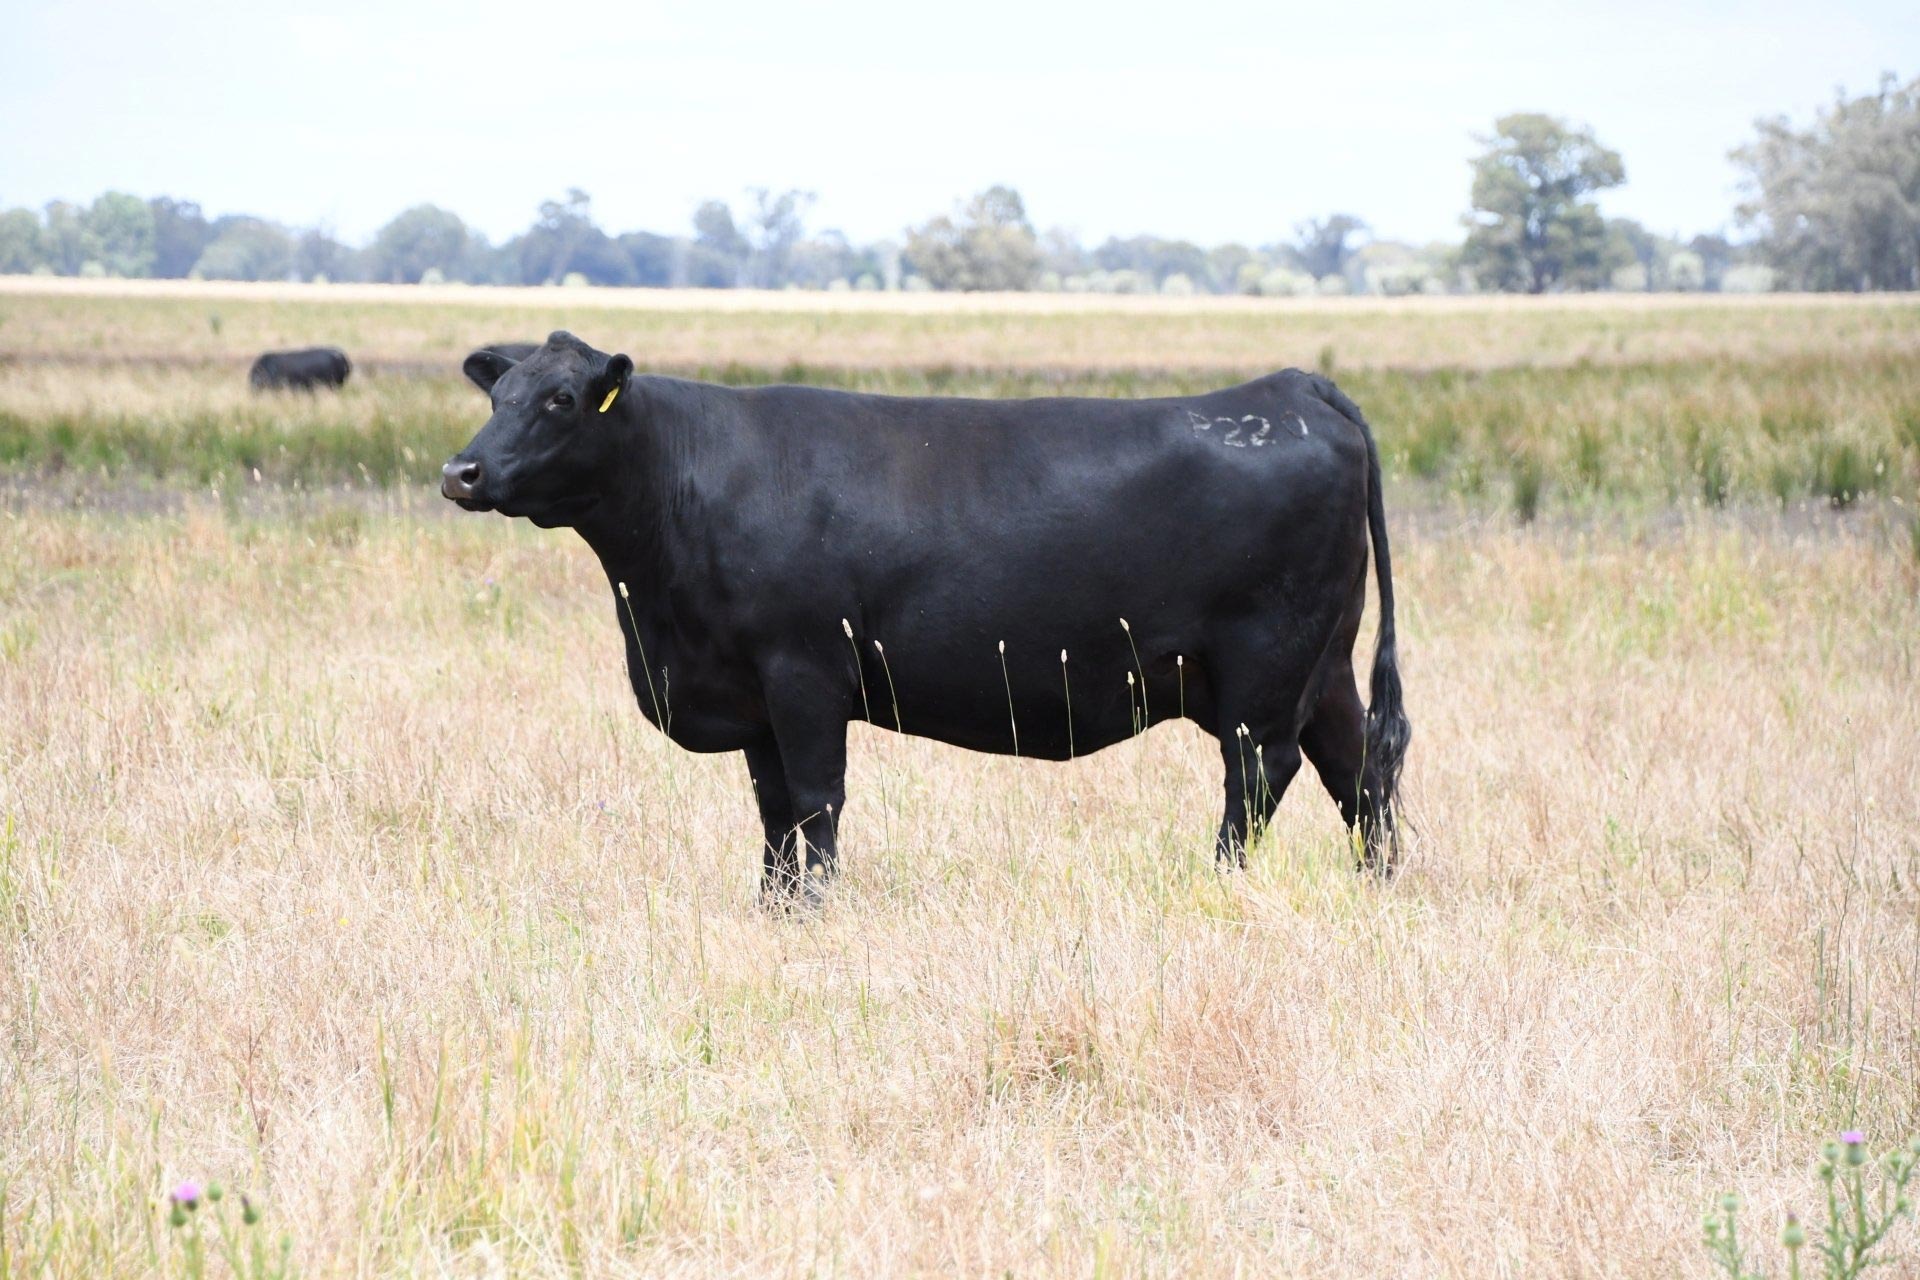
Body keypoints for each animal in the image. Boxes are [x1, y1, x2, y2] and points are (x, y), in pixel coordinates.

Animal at [443, 331, 1409, 904]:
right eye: (497, 398)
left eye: (562, 401)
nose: (462, 472)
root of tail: (1292, 388)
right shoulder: (750, 691)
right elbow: (771, 808)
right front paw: (773, 906)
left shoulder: (804, 669)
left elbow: (815, 797)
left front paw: (817, 909)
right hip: (1321, 663)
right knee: (1359, 769)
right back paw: (1383, 886)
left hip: (1264, 664)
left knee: (1259, 775)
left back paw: (1216, 885)